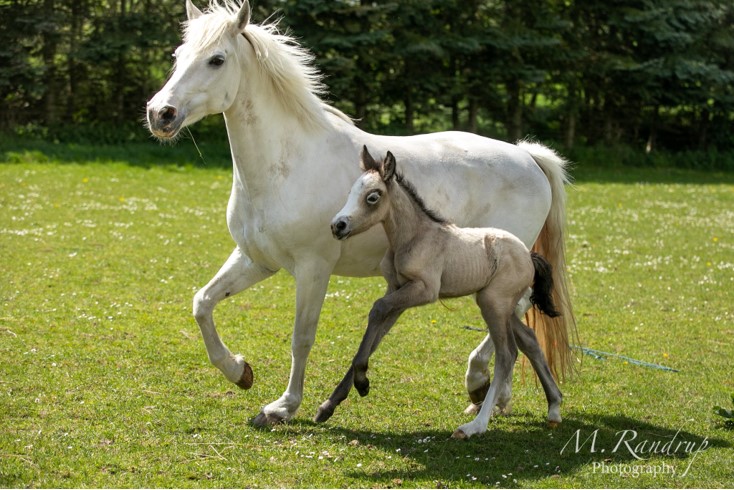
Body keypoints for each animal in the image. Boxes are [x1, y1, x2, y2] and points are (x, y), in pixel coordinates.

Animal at [147, 0, 576, 424]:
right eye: (177, 56)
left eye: (216, 59)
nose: (160, 113)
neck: (287, 164)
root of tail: (528, 156)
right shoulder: (257, 260)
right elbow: (202, 303)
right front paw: (239, 371)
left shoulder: (313, 268)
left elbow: (302, 337)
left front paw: (283, 406)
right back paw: (492, 396)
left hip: (499, 271)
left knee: (513, 314)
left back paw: (481, 385)